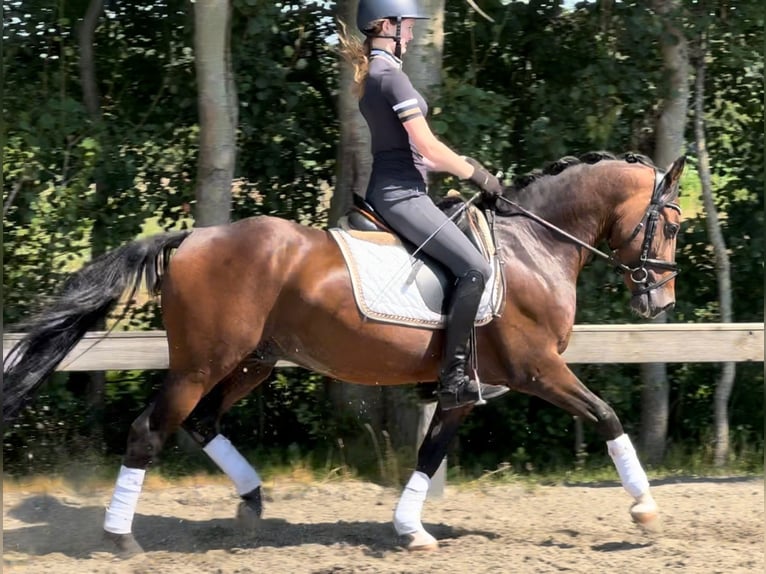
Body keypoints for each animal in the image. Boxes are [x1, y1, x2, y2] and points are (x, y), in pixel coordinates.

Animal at [0, 152, 684, 560]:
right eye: (672, 225)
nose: (660, 301)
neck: (533, 247)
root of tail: (192, 237)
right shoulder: (537, 368)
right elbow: (607, 417)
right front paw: (646, 511)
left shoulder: (468, 388)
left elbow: (431, 451)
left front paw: (411, 530)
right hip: (201, 364)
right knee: (149, 430)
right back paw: (121, 539)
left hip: (252, 362)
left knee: (202, 422)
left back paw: (252, 504)